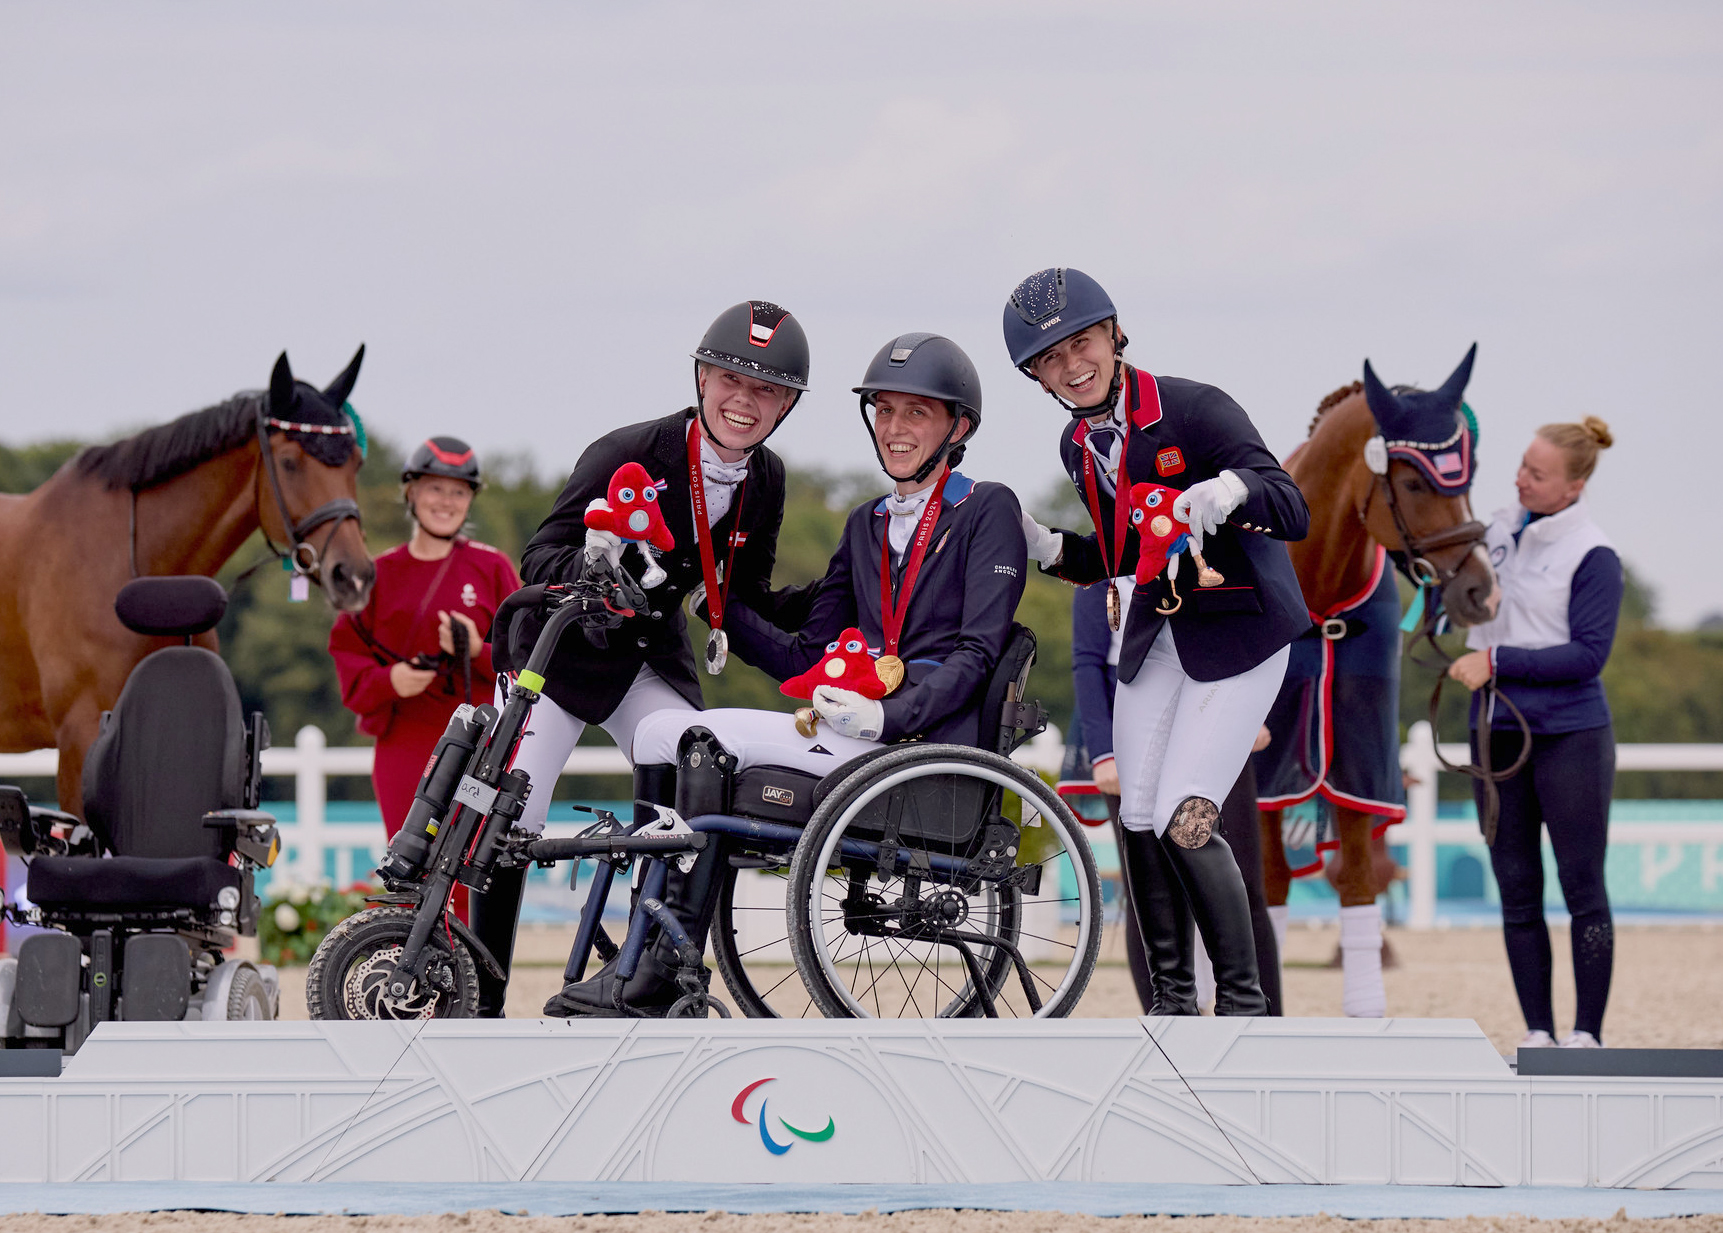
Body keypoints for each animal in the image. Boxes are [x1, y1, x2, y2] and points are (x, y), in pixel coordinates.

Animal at [1254, 344, 1495, 1012]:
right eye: (1412, 482)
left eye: (1467, 479)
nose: (1480, 591)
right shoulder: (1266, 777)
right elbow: (1270, 891)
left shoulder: (1358, 762)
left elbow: (1361, 884)